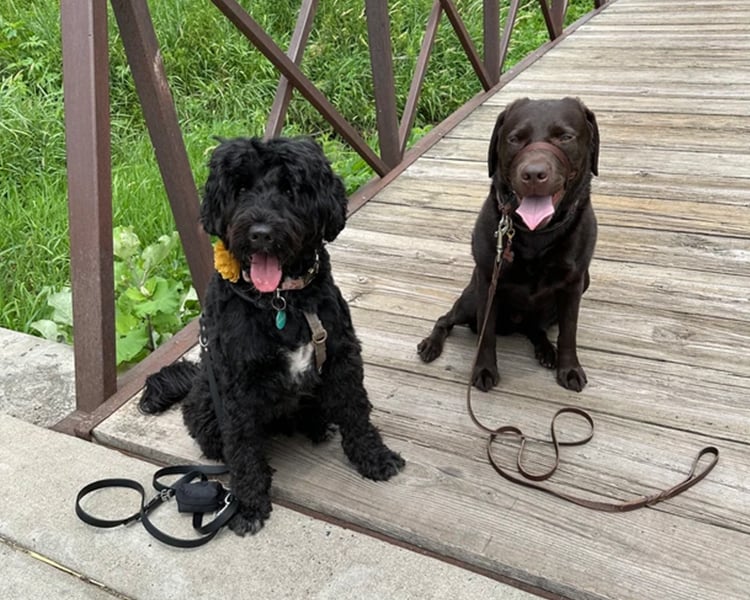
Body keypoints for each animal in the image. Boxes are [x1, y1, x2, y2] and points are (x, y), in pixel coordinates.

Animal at [137, 136, 402, 536]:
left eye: (291, 189)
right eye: (241, 188)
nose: (260, 233)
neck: (281, 301)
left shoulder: (341, 357)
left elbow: (356, 410)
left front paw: (374, 457)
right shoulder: (236, 385)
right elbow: (243, 447)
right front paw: (247, 504)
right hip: (206, 404)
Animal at [420, 96, 604, 392]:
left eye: (565, 137)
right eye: (515, 139)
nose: (534, 174)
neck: (536, 235)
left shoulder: (574, 284)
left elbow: (569, 332)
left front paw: (569, 368)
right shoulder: (487, 282)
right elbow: (486, 336)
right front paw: (484, 369)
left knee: (534, 329)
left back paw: (545, 349)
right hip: (470, 299)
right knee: (445, 319)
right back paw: (431, 344)